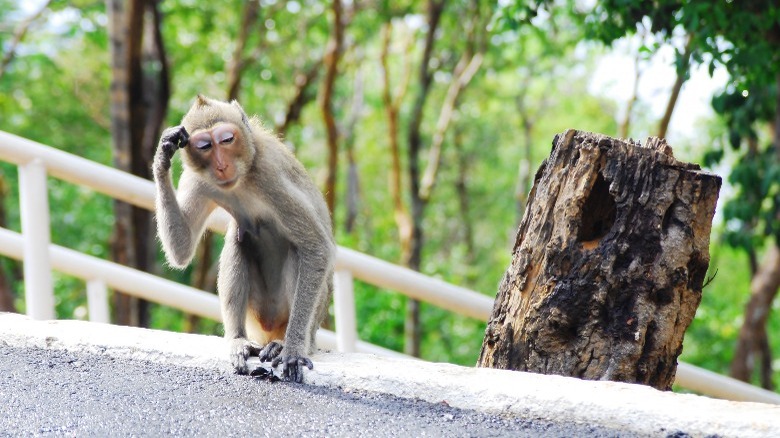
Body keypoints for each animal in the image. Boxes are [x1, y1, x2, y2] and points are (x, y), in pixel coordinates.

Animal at [153, 95, 336, 384]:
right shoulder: (196, 179)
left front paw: (293, 350)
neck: (243, 177)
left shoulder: (270, 175)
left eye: (227, 139)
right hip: (257, 314)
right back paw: (238, 340)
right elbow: (181, 251)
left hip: (306, 320)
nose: (221, 165)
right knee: (240, 240)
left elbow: (315, 247)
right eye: (204, 145)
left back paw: (282, 343)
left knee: (297, 251)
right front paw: (163, 153)